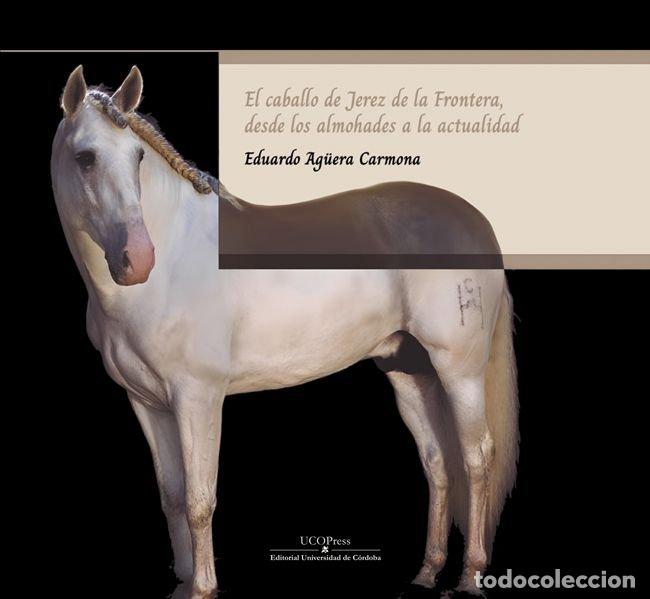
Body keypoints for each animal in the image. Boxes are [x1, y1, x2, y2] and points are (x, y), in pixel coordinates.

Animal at [51, 65, 518, 599]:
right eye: (85, 158)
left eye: (138, 157)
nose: (137, 260)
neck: (174, 260)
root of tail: (476, 222)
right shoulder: (147, 403)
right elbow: (172, 496)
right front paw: (184, 584)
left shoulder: (197, 396)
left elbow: (199, 498)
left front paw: (203, 589)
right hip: (408, 370)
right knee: (438, 463)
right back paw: (425, 574)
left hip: (459, 369)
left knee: (476, 458)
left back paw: (470, 578)